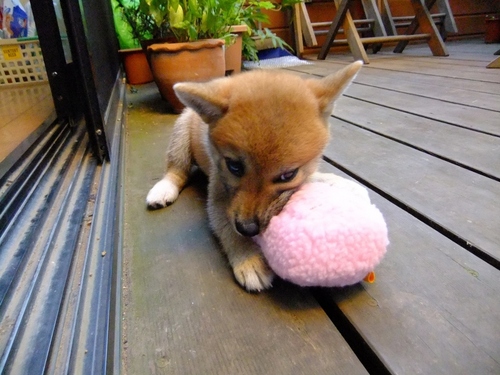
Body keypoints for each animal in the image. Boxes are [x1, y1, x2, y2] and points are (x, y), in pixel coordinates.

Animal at [146, 61, 362, 290]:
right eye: (234, 167)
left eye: (288, 175)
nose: (247, 228)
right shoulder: (218, 197)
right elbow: (228, 229)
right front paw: (249, 258)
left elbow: (312, 176)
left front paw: (337, 181)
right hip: (180, 137)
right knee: (176, 170)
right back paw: (163, 189)